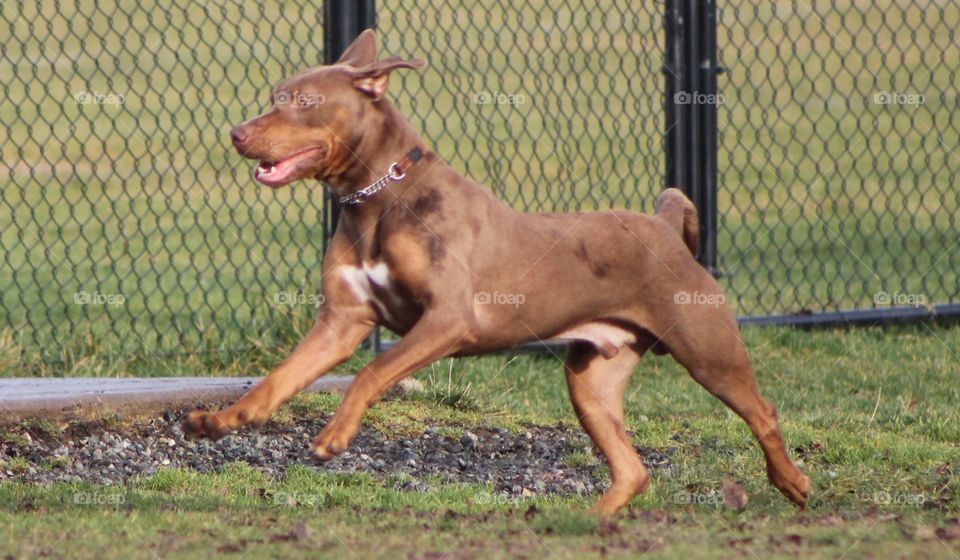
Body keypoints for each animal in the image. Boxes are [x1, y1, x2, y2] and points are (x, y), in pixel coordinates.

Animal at [182, 29, 808, 512]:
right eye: (273, 96)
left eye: (302, 101)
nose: (236, 133)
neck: (377, 199)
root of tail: (664, 226)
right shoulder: (341, 322)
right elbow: (278, 379)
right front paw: (221, 421)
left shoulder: (446, 320)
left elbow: (371, 373)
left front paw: (335, 436)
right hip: (591, 380)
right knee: (633, 469)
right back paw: (588, 522)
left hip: (706, 348)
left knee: (763, 411)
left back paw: (791, 482)